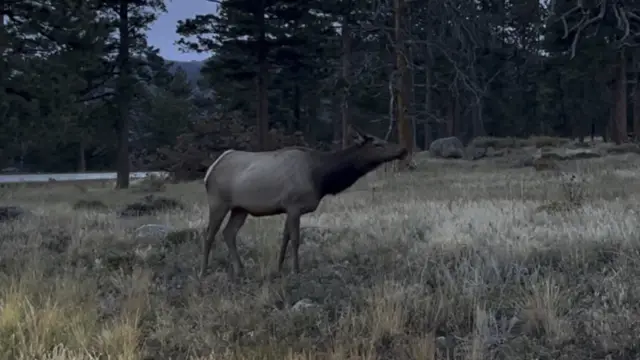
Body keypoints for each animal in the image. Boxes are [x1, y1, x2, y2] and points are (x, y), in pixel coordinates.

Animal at [202, 126, 408, 278]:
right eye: (378, 144)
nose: (403, 149)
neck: (321, 179)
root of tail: (209, 172)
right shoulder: (294, 205)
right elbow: (295, 239)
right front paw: (296, 270)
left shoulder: (288, 208)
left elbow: (285, 238)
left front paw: (279, 268)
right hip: (218, 202)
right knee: (209, 234)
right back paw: (204, 271)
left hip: (240, 208)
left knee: (229, 233)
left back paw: (240, 269)